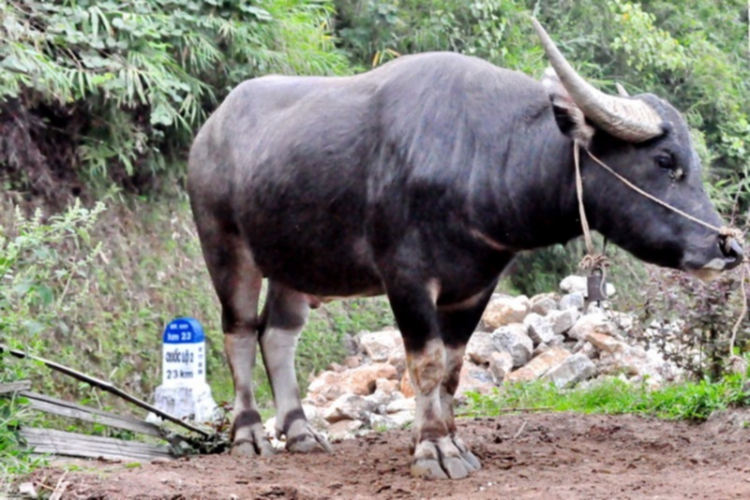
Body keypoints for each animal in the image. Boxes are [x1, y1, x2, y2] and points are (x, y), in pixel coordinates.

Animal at [189, 19, 748, 478]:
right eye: (664, 160)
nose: (728, 248)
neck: (481, 153)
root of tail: (209, 132)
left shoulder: (476, 285)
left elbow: (454, 370)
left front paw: (455, 442)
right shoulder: (407, 279)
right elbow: (427, 364)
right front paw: (433, 450)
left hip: (294, 263)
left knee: (278, 336)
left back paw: (301, 431)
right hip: (226, 250)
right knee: (239, 332)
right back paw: (250, 433)